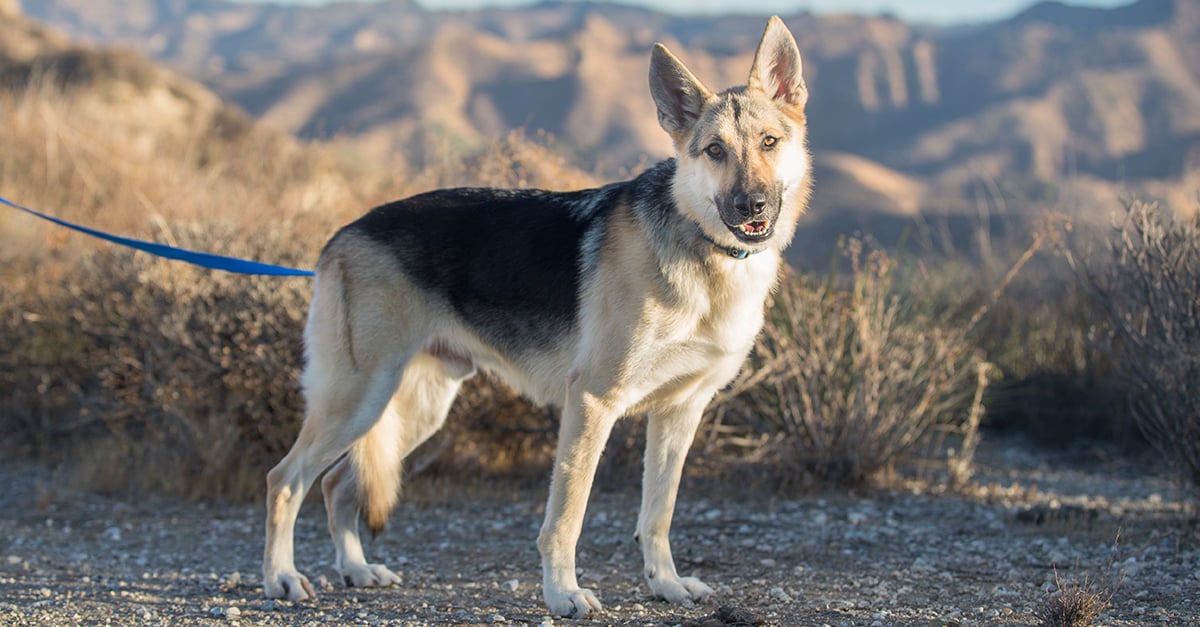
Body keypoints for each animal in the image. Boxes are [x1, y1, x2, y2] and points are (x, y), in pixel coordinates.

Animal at [260, 14, 806, 614]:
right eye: (713, 150)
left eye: (769, 142)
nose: (751, 206)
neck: (702, 249)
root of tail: (341, 234)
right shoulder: (592, 402)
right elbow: (566, 517)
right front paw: (563, 593)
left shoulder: (679, 412)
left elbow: (657, 516)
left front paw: (664, 583)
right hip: (358, 399)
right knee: (284, 480)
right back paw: (281, 577)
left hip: (411, 409)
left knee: (336, 485)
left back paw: (356, 568)